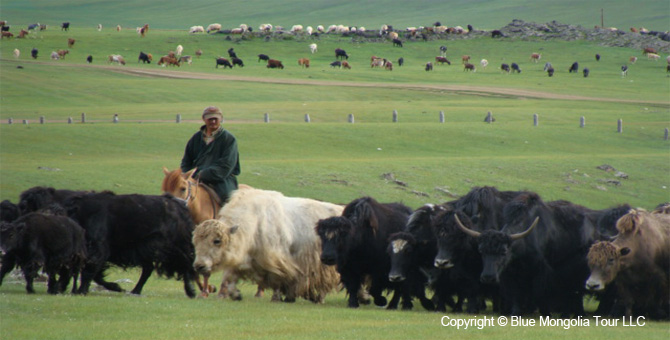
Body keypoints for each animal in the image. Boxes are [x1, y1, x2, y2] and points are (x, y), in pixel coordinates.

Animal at [65, 191, 200, 298]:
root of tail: (179, 206)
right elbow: (96, 274)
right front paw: (116, 287)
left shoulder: (98, 248)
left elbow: (90, 269)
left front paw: (81, 291)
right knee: (149, 269)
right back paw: (135, 290)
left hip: (173, 247)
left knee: (185, 263)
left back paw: (190, 291)